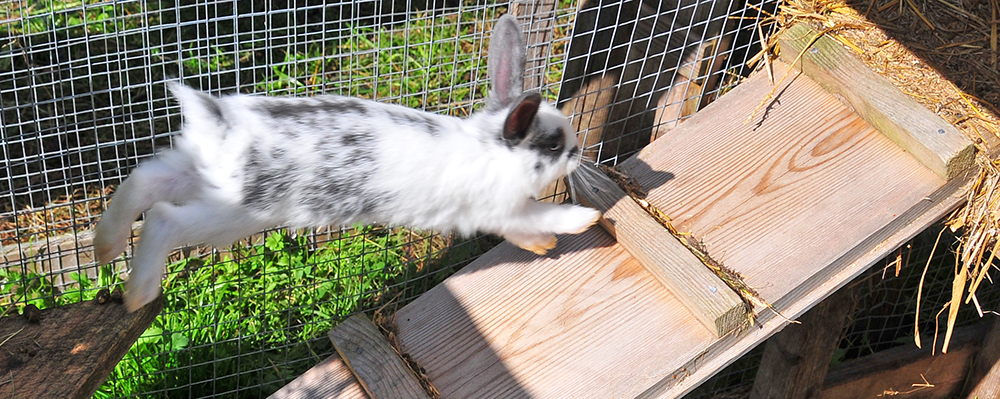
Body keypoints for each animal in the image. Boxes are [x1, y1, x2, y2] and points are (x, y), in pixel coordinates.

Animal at [92, 14, 600, 312]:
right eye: (553, 145)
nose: (578, 152)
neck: (492, 148)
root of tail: (220, 122)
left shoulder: (499, 216)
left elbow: (523, 231)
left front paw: (542, 246)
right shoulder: (498, 208)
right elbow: (542, 213)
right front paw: (585, 219)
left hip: (195, 172)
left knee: (144, 180)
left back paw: (104, 247)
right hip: (232, 214)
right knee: (162, 218)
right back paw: (138, 295)